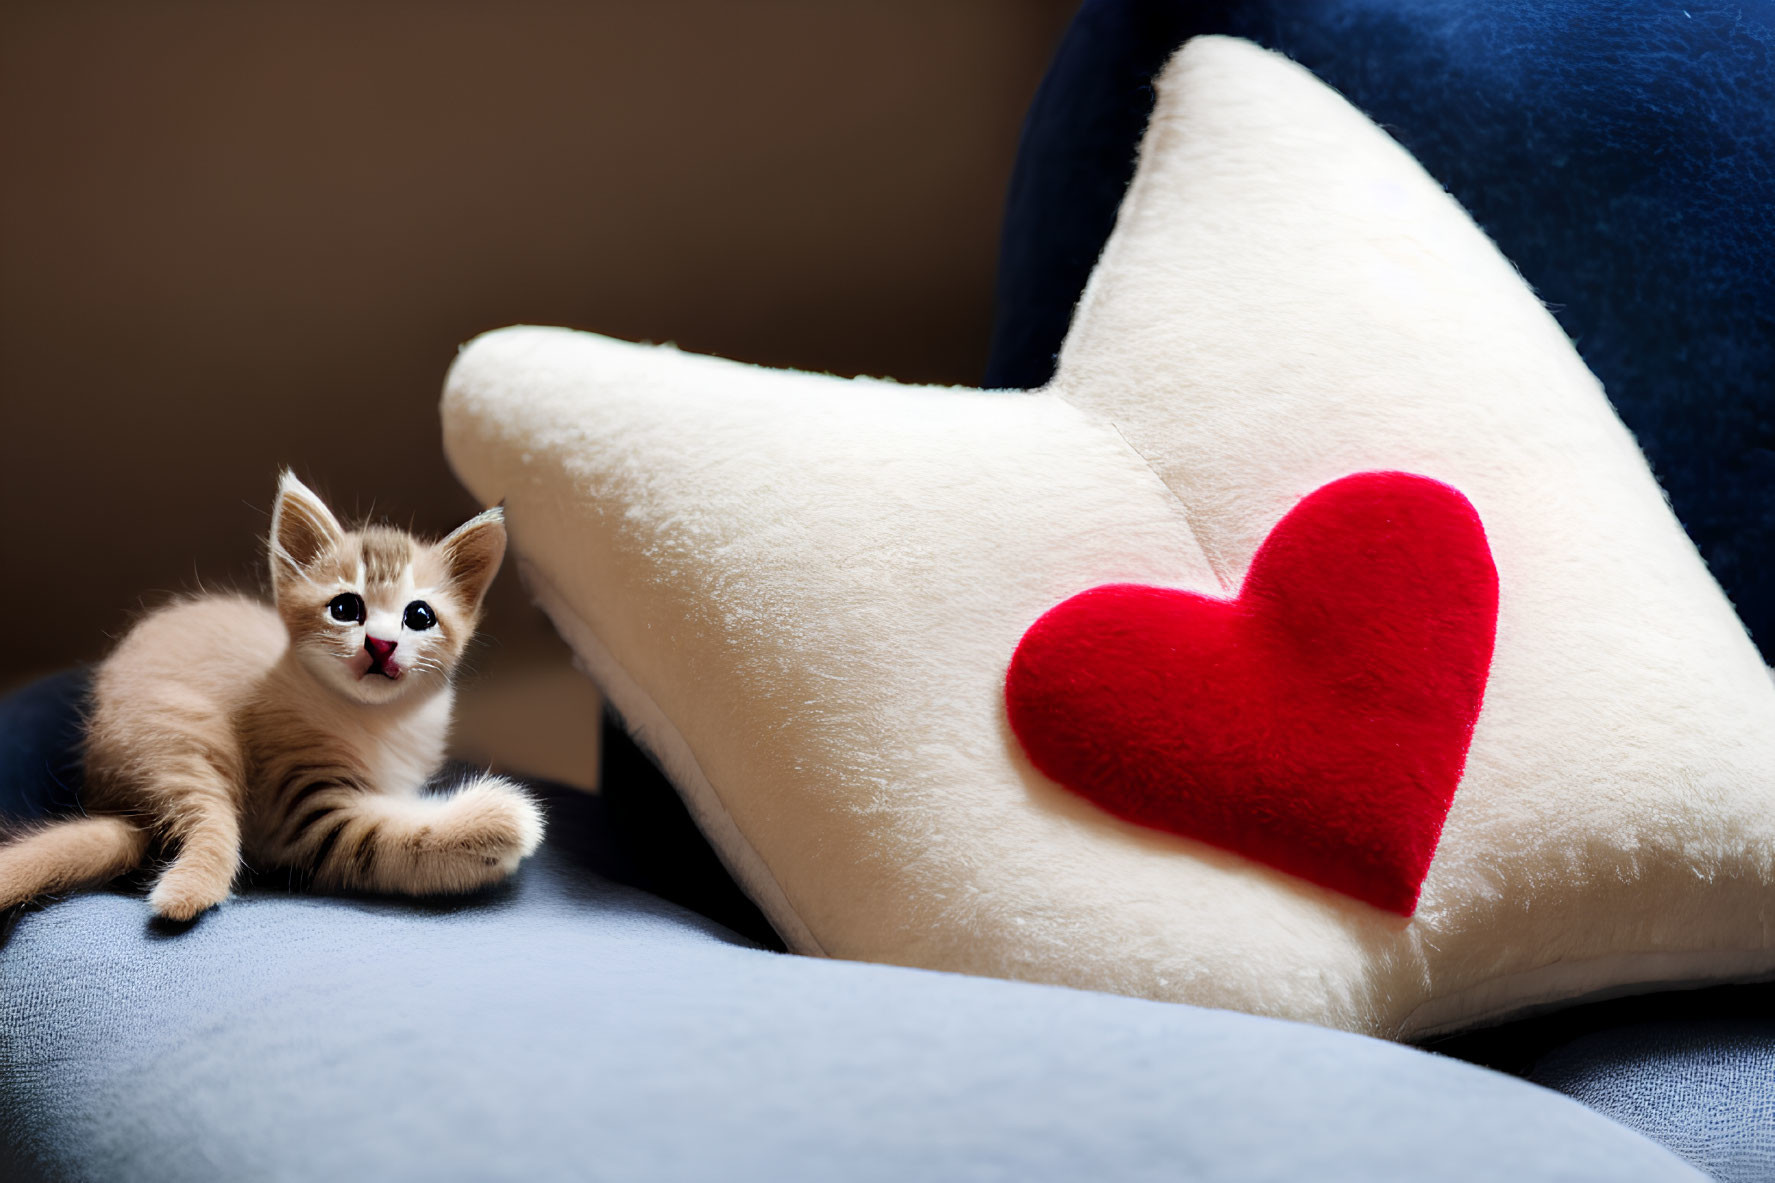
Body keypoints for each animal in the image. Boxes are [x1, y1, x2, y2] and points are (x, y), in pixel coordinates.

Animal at [0, 468, 546, 923]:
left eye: (419, 616)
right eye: (345, 609)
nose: (381, 644)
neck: (376, 719)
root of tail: (114, 801)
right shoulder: (303, 807)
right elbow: (383, 839)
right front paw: (496, 823)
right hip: (178, 731)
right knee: (209, 820)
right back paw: (188, 891)